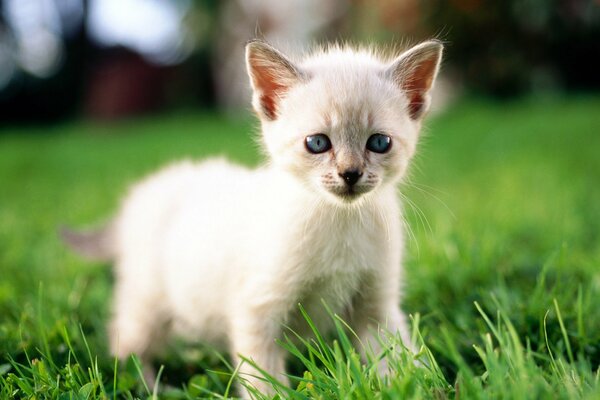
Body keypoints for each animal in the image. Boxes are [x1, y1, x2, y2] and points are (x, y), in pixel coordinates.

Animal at [63, 39, 442, 396]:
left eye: (379, 143)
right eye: (318, 143)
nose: (350, 174)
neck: (340, 222)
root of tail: (141, 195)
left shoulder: (377, 307)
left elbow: (402, 358)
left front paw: (421, 386)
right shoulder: (258, 310)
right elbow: (265, 382)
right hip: (148, 302)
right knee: (125, 342)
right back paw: (154, 387)